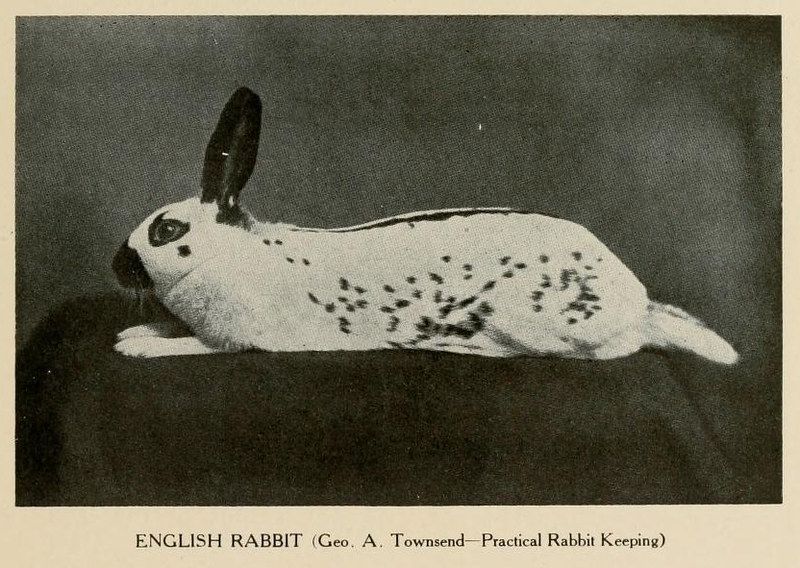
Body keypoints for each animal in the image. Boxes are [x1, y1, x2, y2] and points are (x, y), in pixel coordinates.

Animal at [112, 87, 739, 364]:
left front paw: (137, 349)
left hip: (539, 324)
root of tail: (638, 304)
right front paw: (134, 333)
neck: (228, 254)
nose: (117, 266)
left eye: (167, 231)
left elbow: (190, 345)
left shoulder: (231, 337)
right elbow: (165, 327)